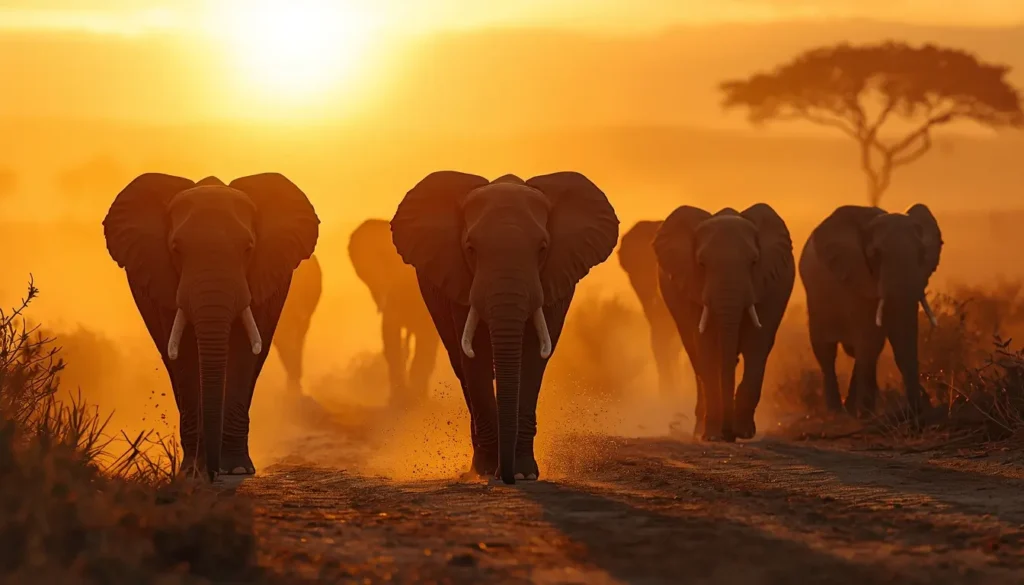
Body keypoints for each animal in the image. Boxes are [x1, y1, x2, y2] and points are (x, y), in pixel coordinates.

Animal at [390, 171, 619, 484]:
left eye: (542, 249)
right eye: (471, 249)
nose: (506, 476)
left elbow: (533, 358)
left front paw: (524, 474)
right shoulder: (461, 282)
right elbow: (476, 359)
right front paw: (489, 471)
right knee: (462, 369)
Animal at [653, 204, 794, 441]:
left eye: (753, 262)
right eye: (701, 264)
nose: (728, 434)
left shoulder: (769, 286)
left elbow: (757, 345)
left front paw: (744, 433)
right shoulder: (693, 287)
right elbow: (706, 347)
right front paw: (712, 436)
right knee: (695, 356)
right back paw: (700, 429)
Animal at [799, 204, 942, 416]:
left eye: (922, 253)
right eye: (875, 255)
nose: (918, 408)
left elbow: (891, 341)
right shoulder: (856, 278)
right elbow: (869, 341)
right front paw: (866, 415)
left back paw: (851, 409)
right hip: (815, 299)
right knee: (826, 351)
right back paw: (837, 413)